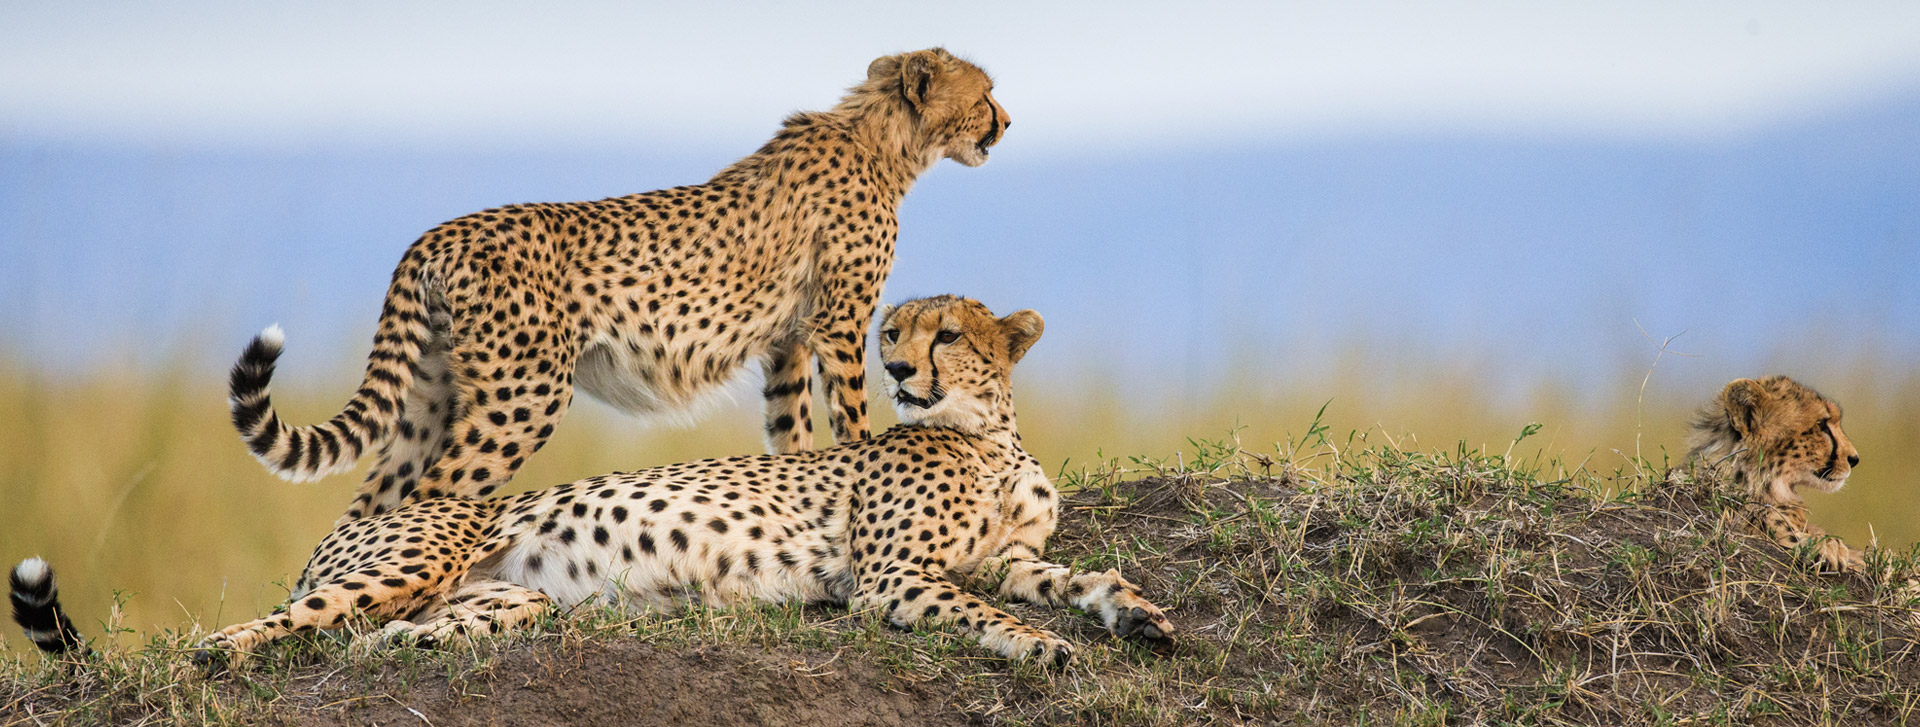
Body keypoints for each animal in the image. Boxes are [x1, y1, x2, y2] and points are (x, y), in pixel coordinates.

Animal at [15, 295, 1167, 667]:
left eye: (949, 333)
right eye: (893, 329)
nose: (894, 368)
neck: (988, 435)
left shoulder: (1010, 555)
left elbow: (1069, 579)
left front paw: (1140, 617)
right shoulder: (894, 576)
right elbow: (984, 609)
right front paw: (1047, 649)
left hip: (498, 598)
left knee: (377, 637)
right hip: (414, 552)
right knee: (248, 629)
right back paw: (220, 655)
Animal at [226, 48, 1013, 525]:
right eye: (985, 94)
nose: (1006, 121)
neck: (884, 141)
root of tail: (439, 232)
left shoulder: (787, 342)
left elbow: (791, 435)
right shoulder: (841, 326)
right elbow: (851, 420)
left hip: (431, 393)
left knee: (372, 503)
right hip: (523, 394)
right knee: (438, 491)